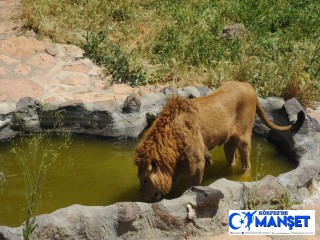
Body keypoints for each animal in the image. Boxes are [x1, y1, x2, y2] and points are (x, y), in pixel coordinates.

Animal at [133, 80, 304, 201]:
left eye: (145, 180)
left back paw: (242, 178)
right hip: (229, 142)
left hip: (243, 137)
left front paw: (187, 195)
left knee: (247, 165)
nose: (141, 196)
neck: (170, 136)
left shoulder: (197, 162)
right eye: (140, 179)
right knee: (232, 160)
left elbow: (192, 185)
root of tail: (249, 86)